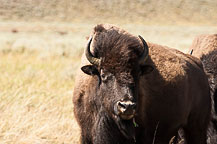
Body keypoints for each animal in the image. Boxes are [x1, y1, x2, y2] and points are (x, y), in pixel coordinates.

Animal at [72, 24, 210, 143]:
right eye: (103, 74)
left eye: (138, 74)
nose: (127, 106)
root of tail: (197, 65)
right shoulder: (86, 133)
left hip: (196, 126)